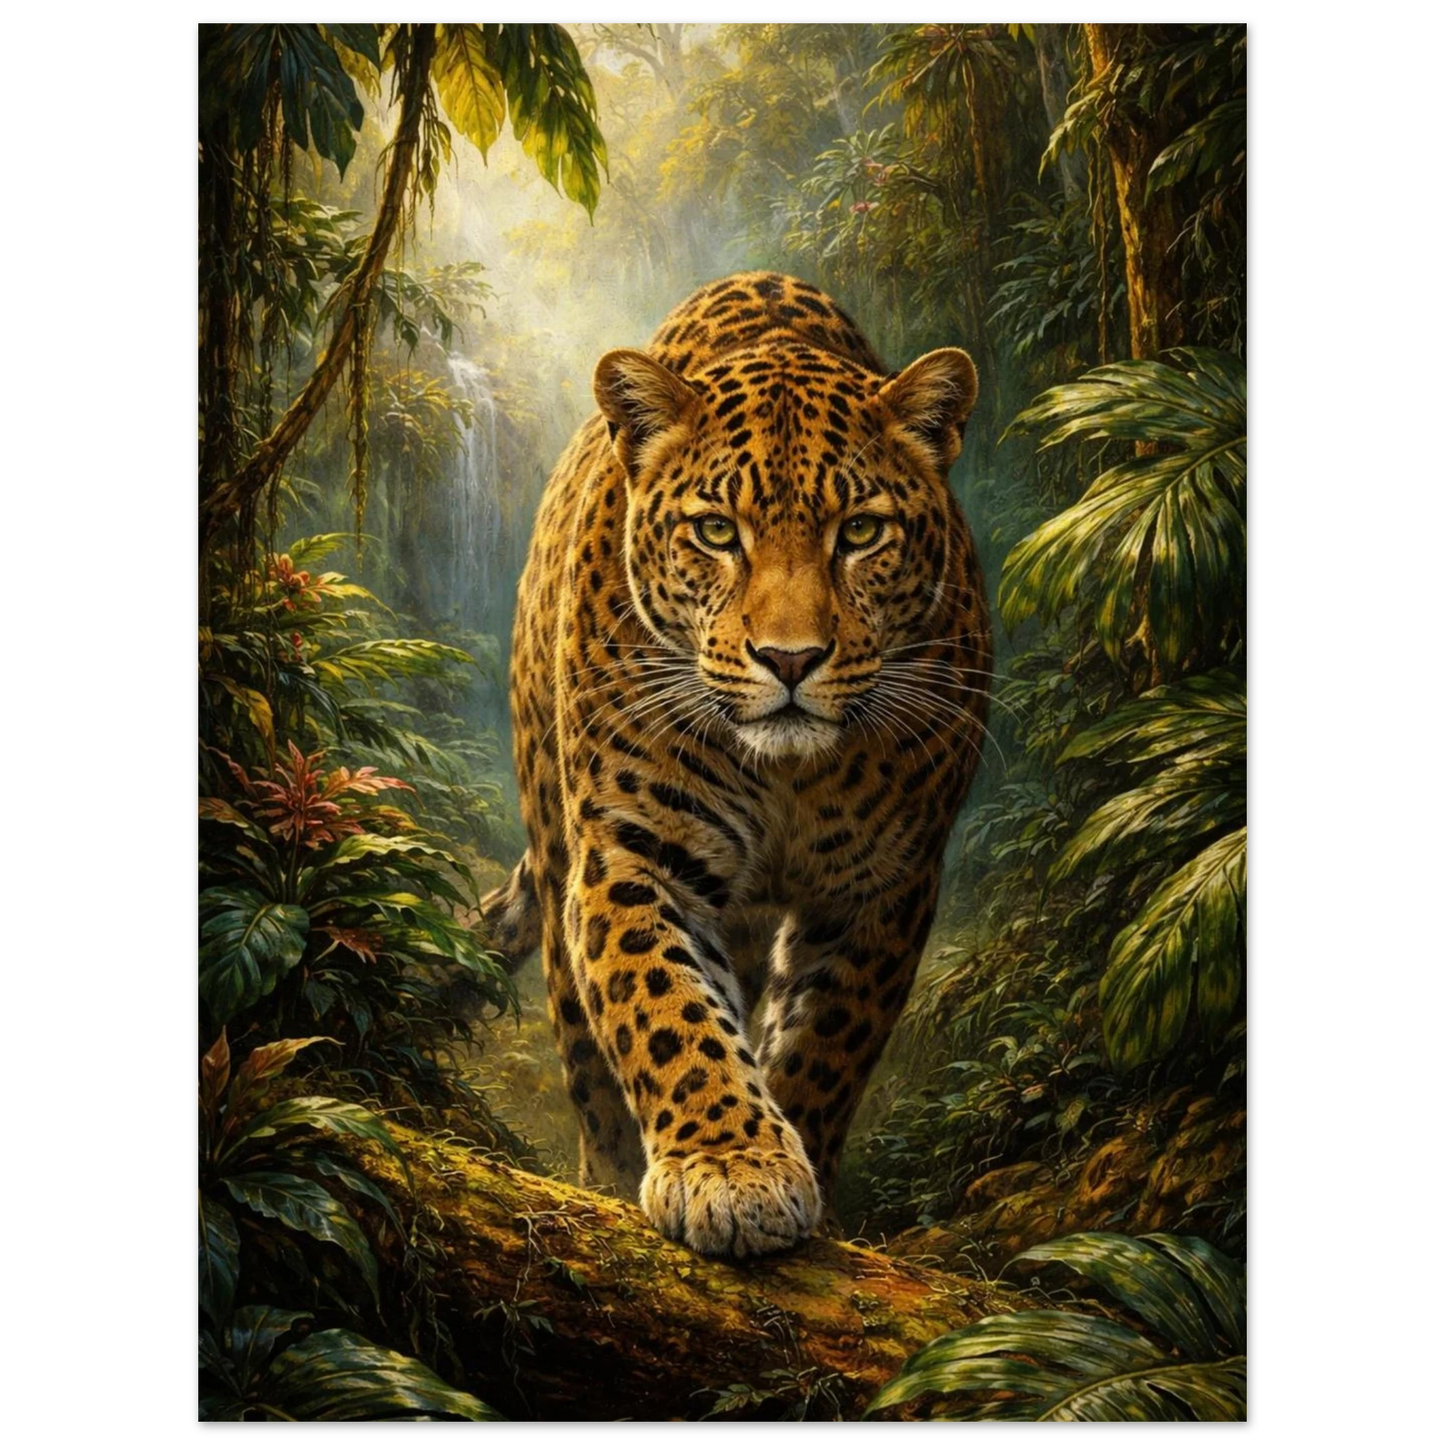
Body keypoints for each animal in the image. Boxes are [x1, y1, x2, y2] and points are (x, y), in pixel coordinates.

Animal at [480, 272, 990, 1259]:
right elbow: (665, 1011)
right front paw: (731, 1165)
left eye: (859, 531)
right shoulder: (634, 852)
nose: (790, 659)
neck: (786, 777)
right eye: (716, 531)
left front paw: (791, 1157)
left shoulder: (887, 882)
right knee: (583, 1042)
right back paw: (608, 1172)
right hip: (554, 835)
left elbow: (826, 1042)